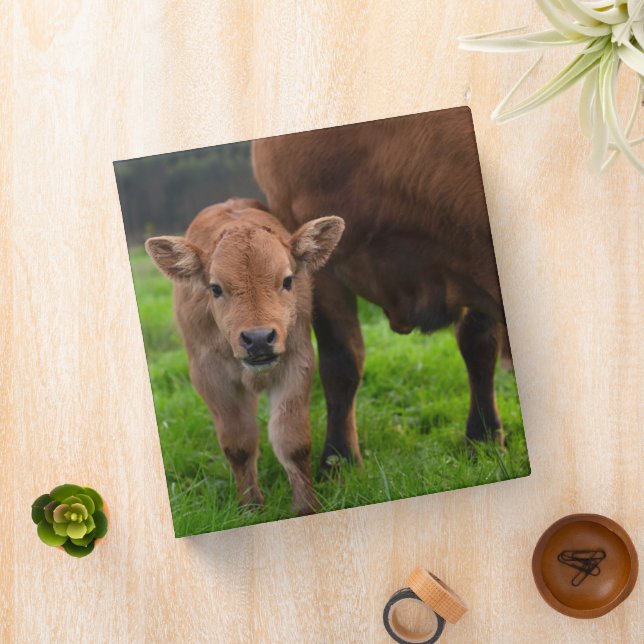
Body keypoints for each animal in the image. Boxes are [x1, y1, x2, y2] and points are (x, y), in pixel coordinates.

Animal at [144, 198, 344, 515]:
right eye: (215, 288)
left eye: (287, 280)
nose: (259, 338)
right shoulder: (209, 376)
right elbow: (238, 443)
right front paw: (251, 508)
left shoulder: (297, 362)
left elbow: (292, 440)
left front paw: (306, 507)